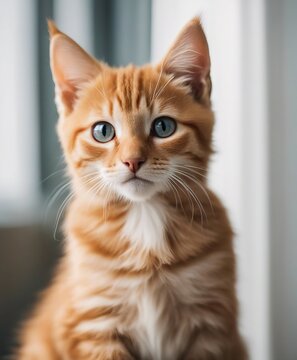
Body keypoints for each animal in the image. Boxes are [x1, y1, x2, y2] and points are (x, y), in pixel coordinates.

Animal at [17, 18, 246, 360]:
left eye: (163, 127)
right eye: (103, 131)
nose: (132, 161)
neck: (144, 216)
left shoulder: (212, 323)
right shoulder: (95, 325)